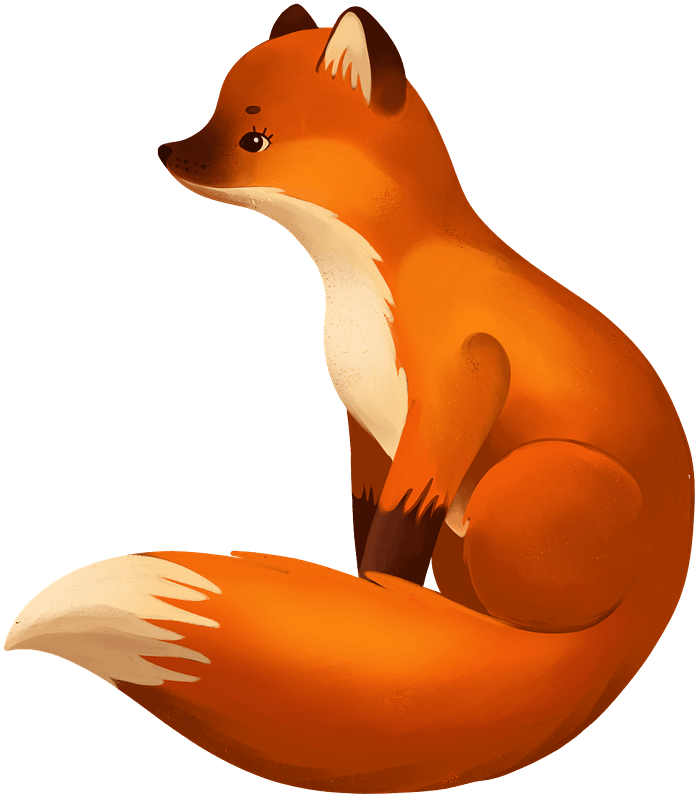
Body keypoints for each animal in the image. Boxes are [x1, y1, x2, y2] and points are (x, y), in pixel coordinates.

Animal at [4, 4, 692, 794]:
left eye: (254, 138)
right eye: (214, 114)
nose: (168, 151)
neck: (366, 289)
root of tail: (655, 597)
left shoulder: (458, 387)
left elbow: (398, 529)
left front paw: (383, 609)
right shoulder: (366, 422)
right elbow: (372, 525)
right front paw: (374, 604)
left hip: (519, 489)